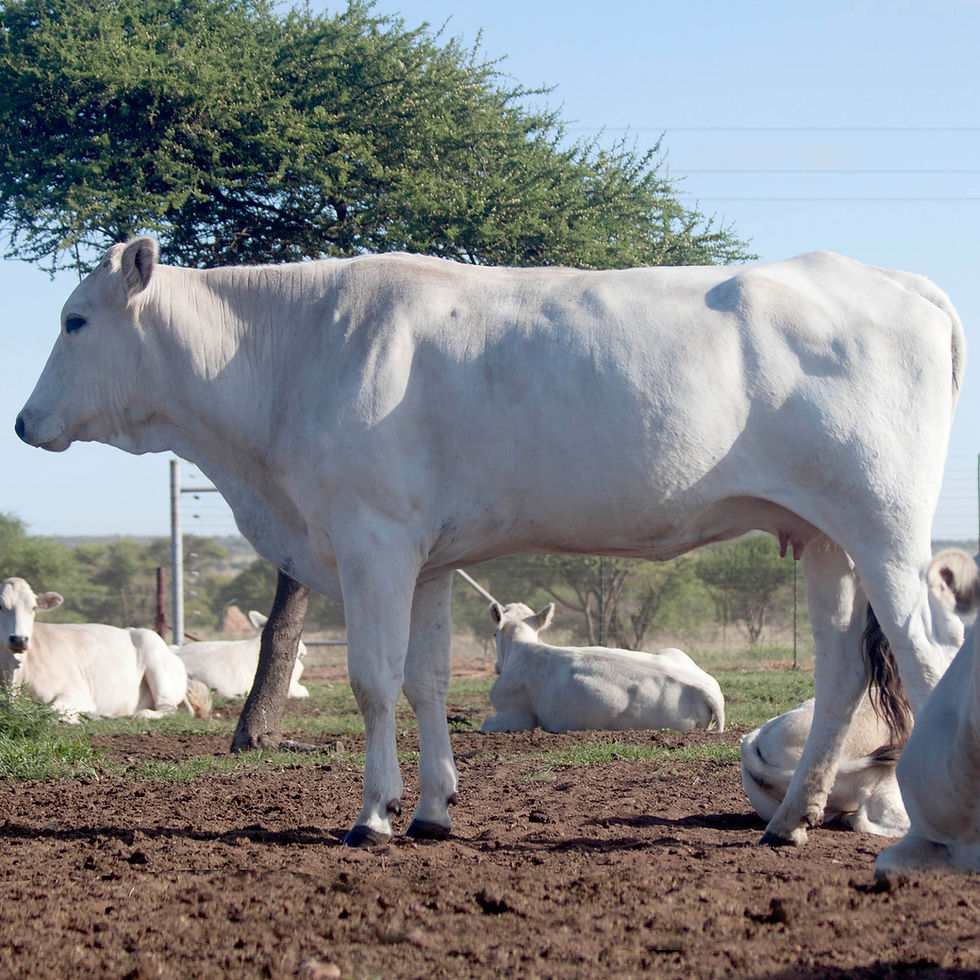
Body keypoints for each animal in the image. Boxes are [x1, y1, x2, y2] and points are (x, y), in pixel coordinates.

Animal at [0, 577, 211, 722]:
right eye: (1, 606)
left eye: (33, 608)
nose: (19, 639)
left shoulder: (77, 693)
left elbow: (50, 710)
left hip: (156, 661)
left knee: (166, 709)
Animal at [482, 601, 724, 733]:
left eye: (494, 634)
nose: (495, 666)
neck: (522, 648)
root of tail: (706, 689)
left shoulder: (515, 716)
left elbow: (485, 723)